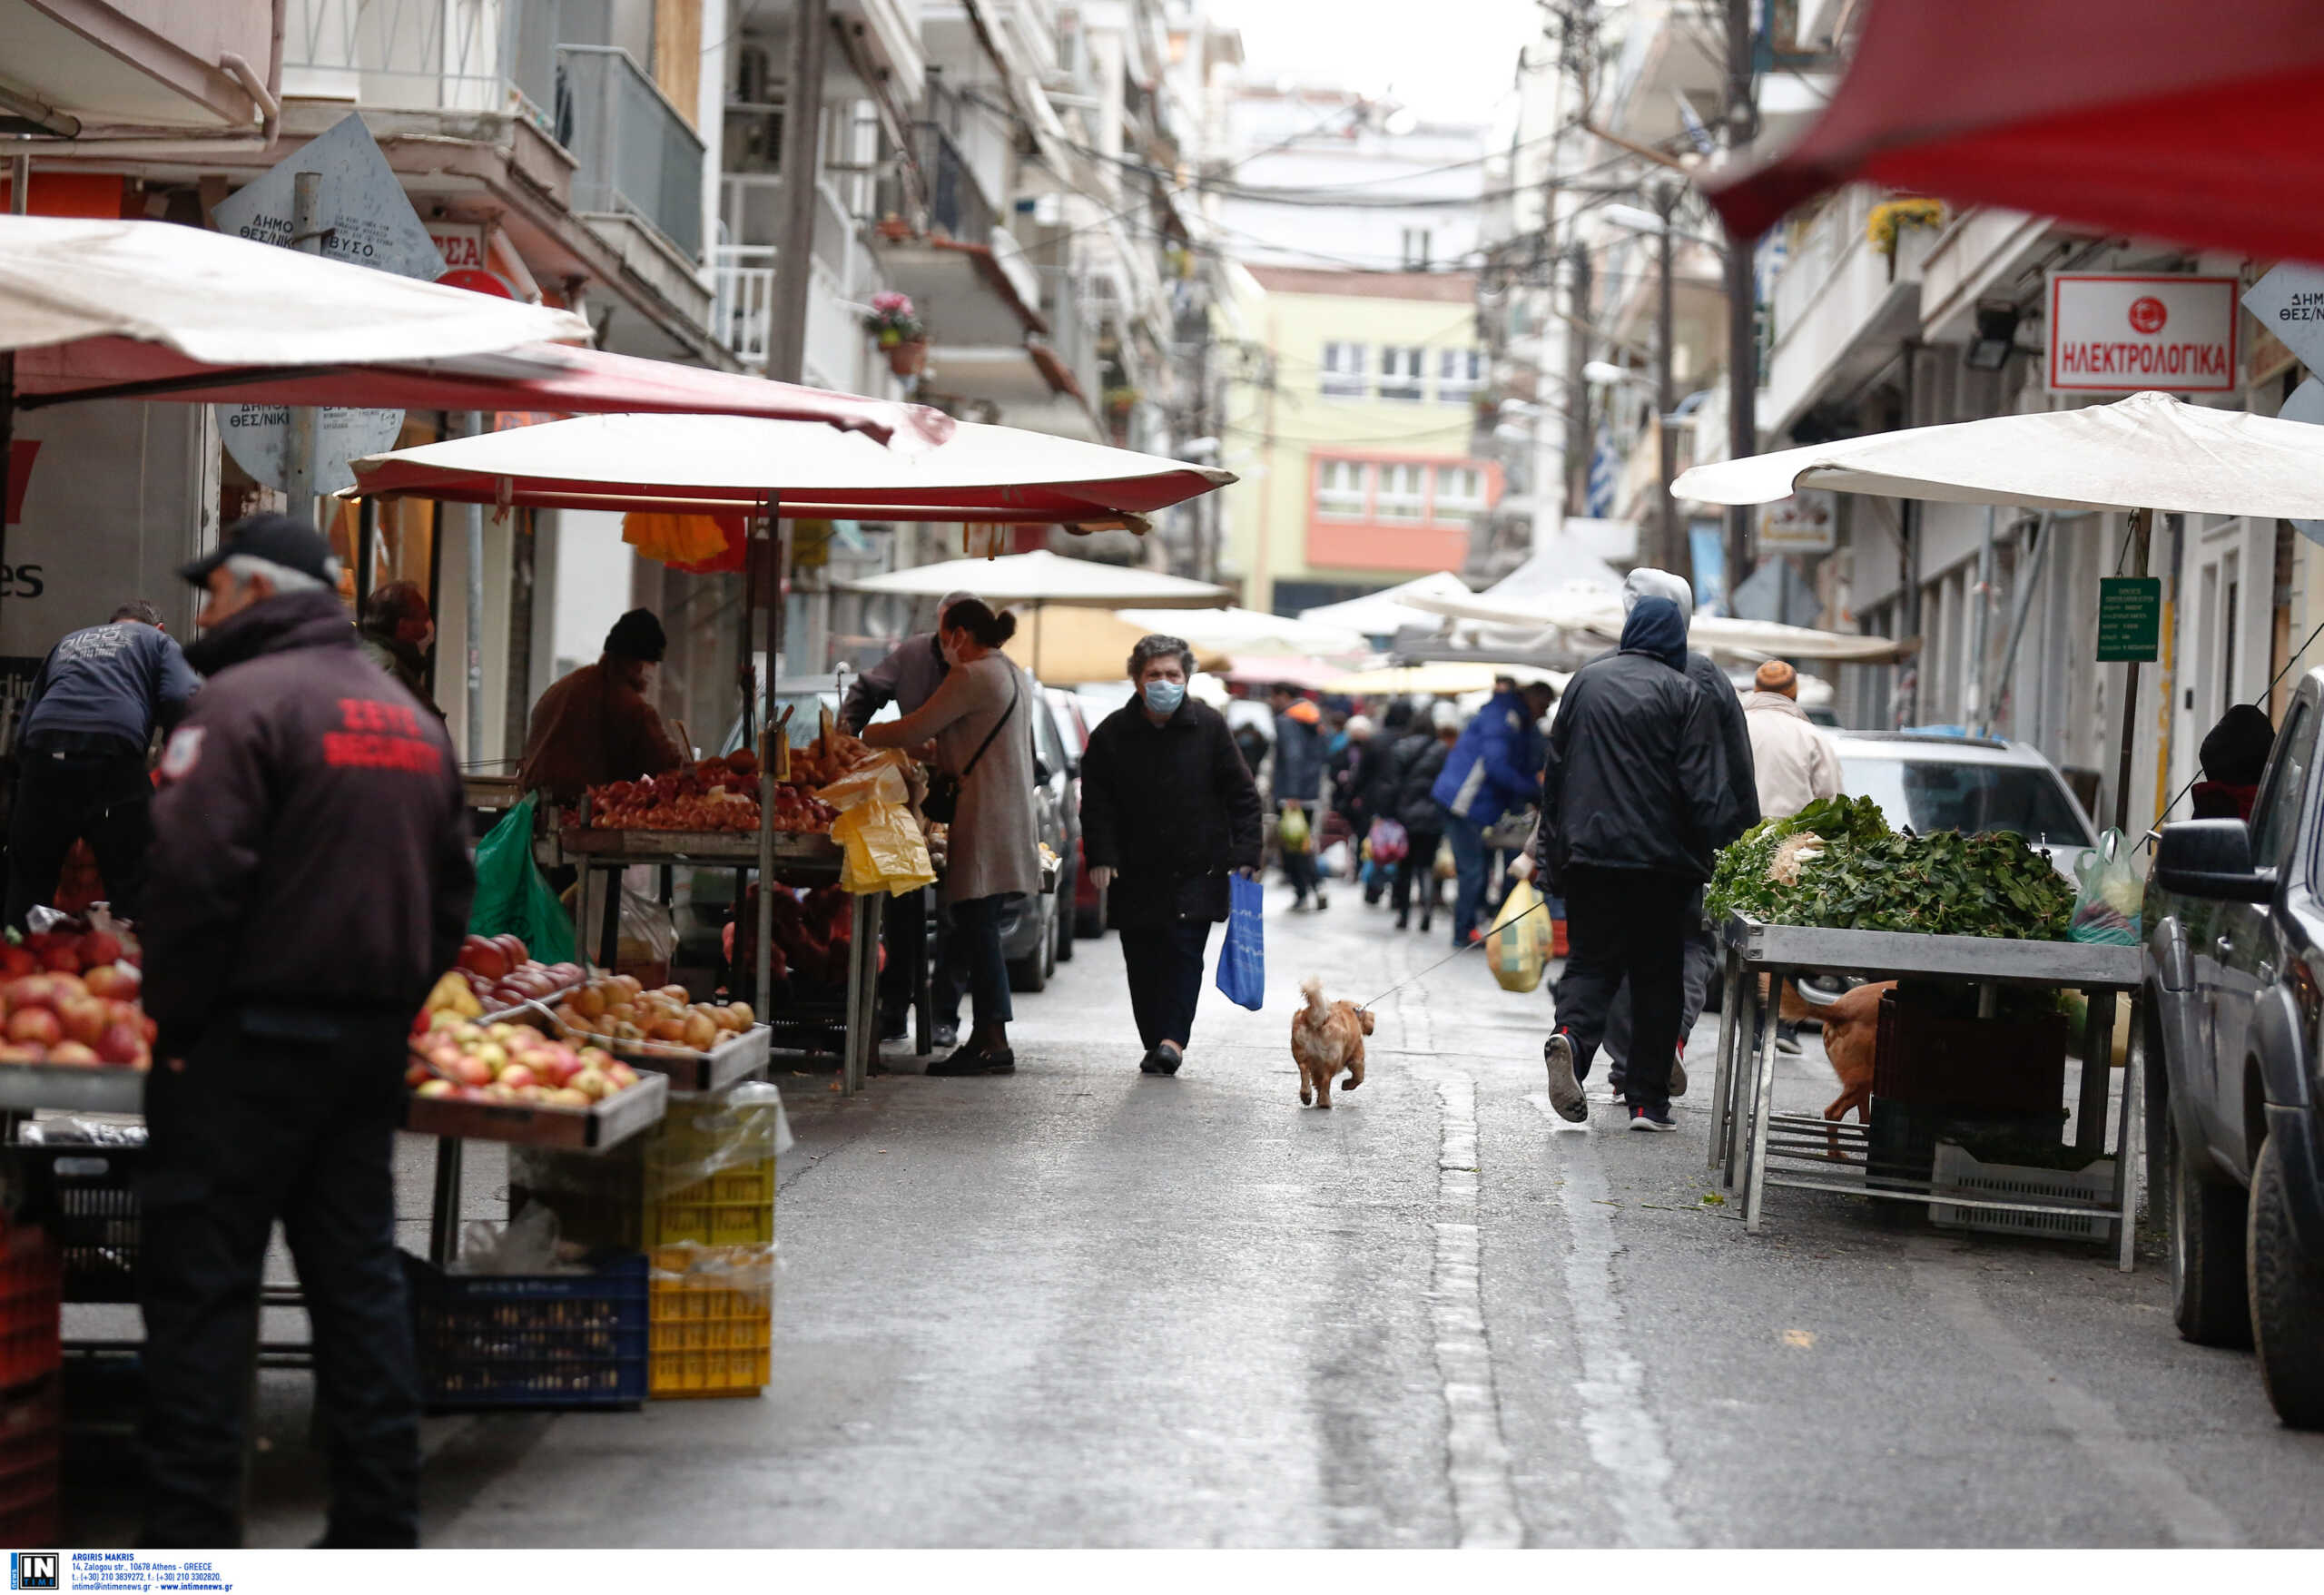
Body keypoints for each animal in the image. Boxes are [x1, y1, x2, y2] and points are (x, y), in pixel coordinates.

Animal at [1283, 976, 1366, 1111]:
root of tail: (1320, 1019)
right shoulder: (1357, 1057)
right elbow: (1358, 1077)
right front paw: (1347, 1085)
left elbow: (1318, 1083)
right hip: (1333, 1058)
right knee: (1327, 1079)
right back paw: (1325, 1103)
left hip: (1300, 1051)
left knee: (1304, 1069)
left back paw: (1306, 1095)